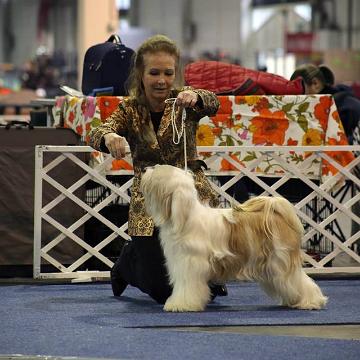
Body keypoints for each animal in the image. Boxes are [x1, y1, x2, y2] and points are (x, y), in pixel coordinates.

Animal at [141, 165, 330, 310]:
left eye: (157, 170)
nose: (144, 168)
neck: (184, 218)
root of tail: (277, 213)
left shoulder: (190, 265)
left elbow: (187, 287)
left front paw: (181, 305)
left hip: (280, 262)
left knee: (299, 281)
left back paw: (311, 302)